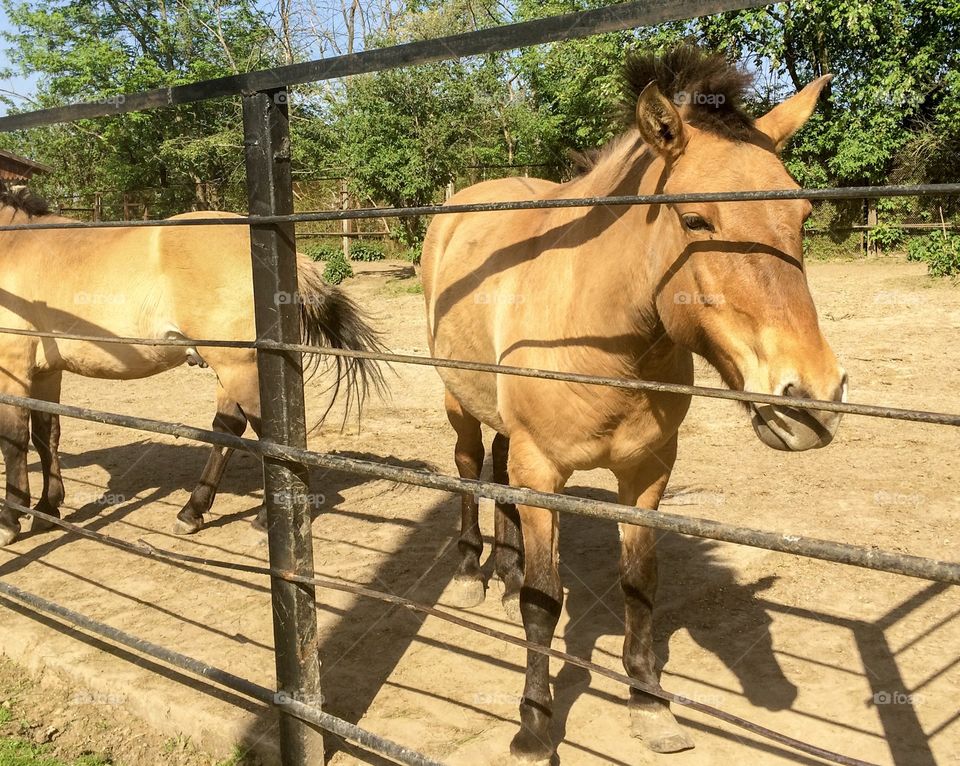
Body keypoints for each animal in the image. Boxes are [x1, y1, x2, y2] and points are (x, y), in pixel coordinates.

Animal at [0, 188, 384, 547]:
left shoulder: (12, 368)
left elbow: (14, 437)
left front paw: (10, 521)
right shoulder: (46, 372)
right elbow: (46, 434)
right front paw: (47, 509)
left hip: (236, 368)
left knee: (271, 438)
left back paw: (262, 522)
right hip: (232, 370)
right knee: (229, 428)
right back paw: (191, 513)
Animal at [422, 46, 847, 761]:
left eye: (802, 216)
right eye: (697, 220)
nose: (812, 400)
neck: (603, 338)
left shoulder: (647, 474)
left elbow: (640, 586)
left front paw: (650, 704)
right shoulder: (544, 473)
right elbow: (544, 600)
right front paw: (533, 726)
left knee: (498, 468)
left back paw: (504, 568)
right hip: (458, 399)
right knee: (469, 464)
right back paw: (472, 571)